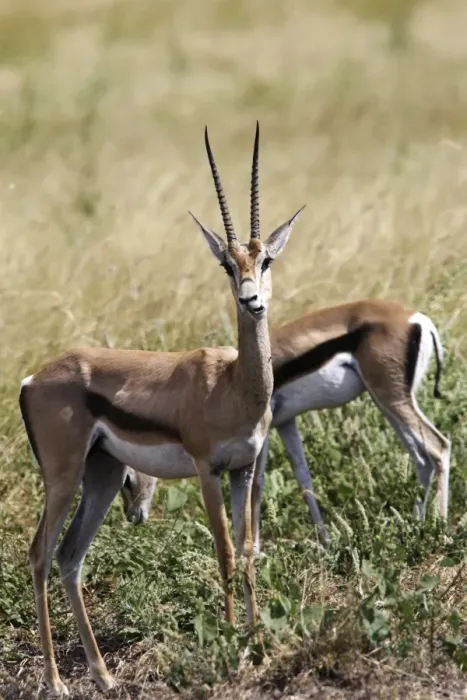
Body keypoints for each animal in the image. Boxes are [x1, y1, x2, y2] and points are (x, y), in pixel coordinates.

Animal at [19, 123, 306, 696]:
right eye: (226, 264)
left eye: (265, 260)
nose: (251, 300)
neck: (234, 386)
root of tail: (34, 378)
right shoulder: (208, 470)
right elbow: (223, 549)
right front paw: (231, 644)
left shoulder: (244, 469)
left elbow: (247, 551)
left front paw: (258, 644)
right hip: (62, 478)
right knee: (40, 555)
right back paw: (57, 682)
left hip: (103, 476)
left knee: (69, 557)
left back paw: (104, 676)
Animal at [121, 301, 450, 551]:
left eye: (126, 478)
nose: (133, 516)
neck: (231, 380)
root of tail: (416, 319)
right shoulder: (285, 422)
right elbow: (303, 477)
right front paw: (324, 542)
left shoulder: (260, 433)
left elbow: (257, 482)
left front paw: (254, 549)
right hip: (386, 401)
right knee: (421, 458)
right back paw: (415, 524)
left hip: (391, 397)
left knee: (439, 447)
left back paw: (440, 530)